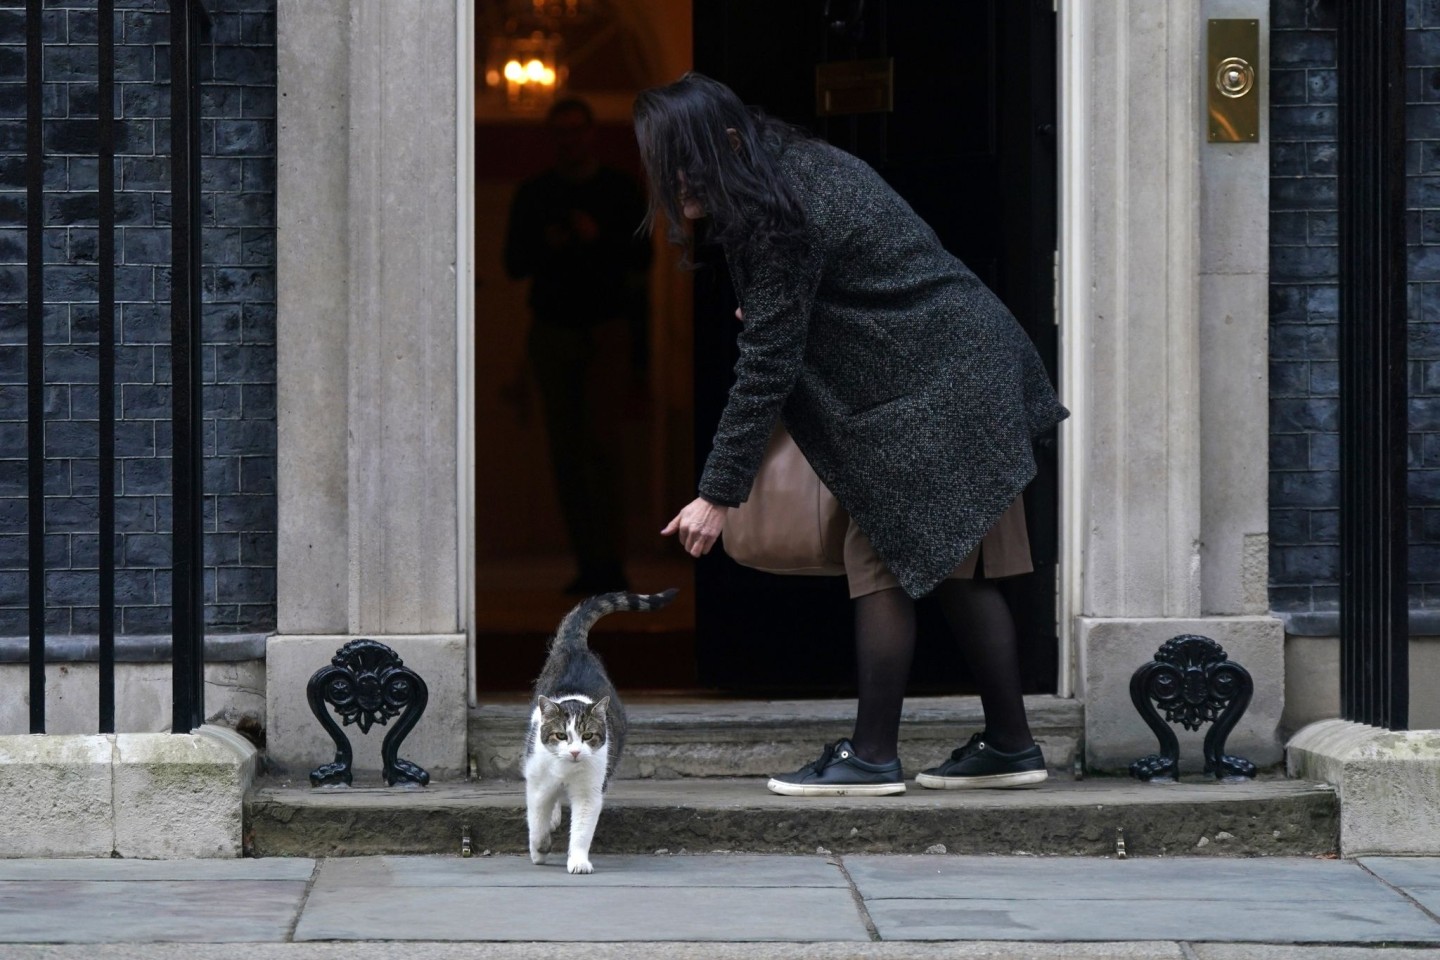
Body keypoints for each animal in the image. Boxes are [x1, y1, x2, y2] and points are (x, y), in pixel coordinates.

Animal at [527, 590, 676, 875]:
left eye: (588, 736)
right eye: (561, 736)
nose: (575, 752)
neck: (567, 770)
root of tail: (574, 647)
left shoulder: (591, 790)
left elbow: (582, 829)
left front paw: (578, 861)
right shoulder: (538, 785)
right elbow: (537, 820)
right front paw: (540, 850)